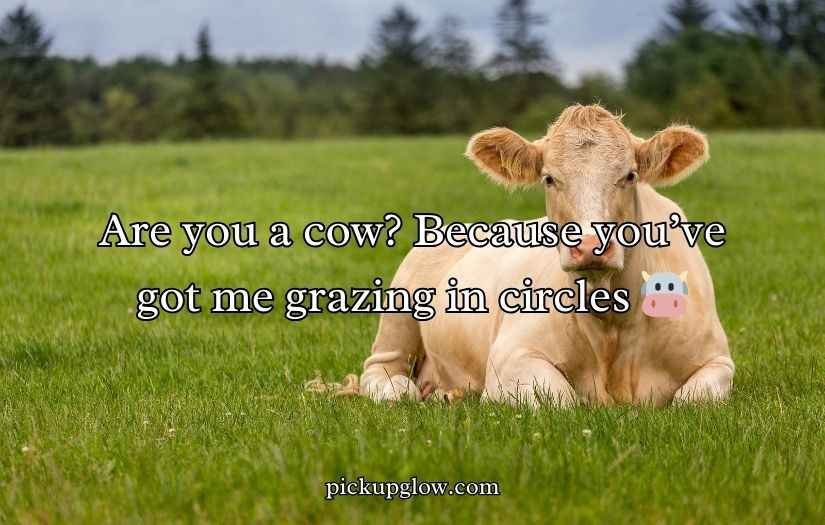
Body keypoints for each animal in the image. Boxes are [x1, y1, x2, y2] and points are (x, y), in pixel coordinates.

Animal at [359, 104, 734, 407]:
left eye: (629, 175)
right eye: (549, 178)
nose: (590, 245)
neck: (613, 326)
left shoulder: (718, 360)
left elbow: (692, 399)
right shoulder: (510, 357)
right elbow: (561, 399)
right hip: (399, 314)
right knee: (379, 371)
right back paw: (404, 391)